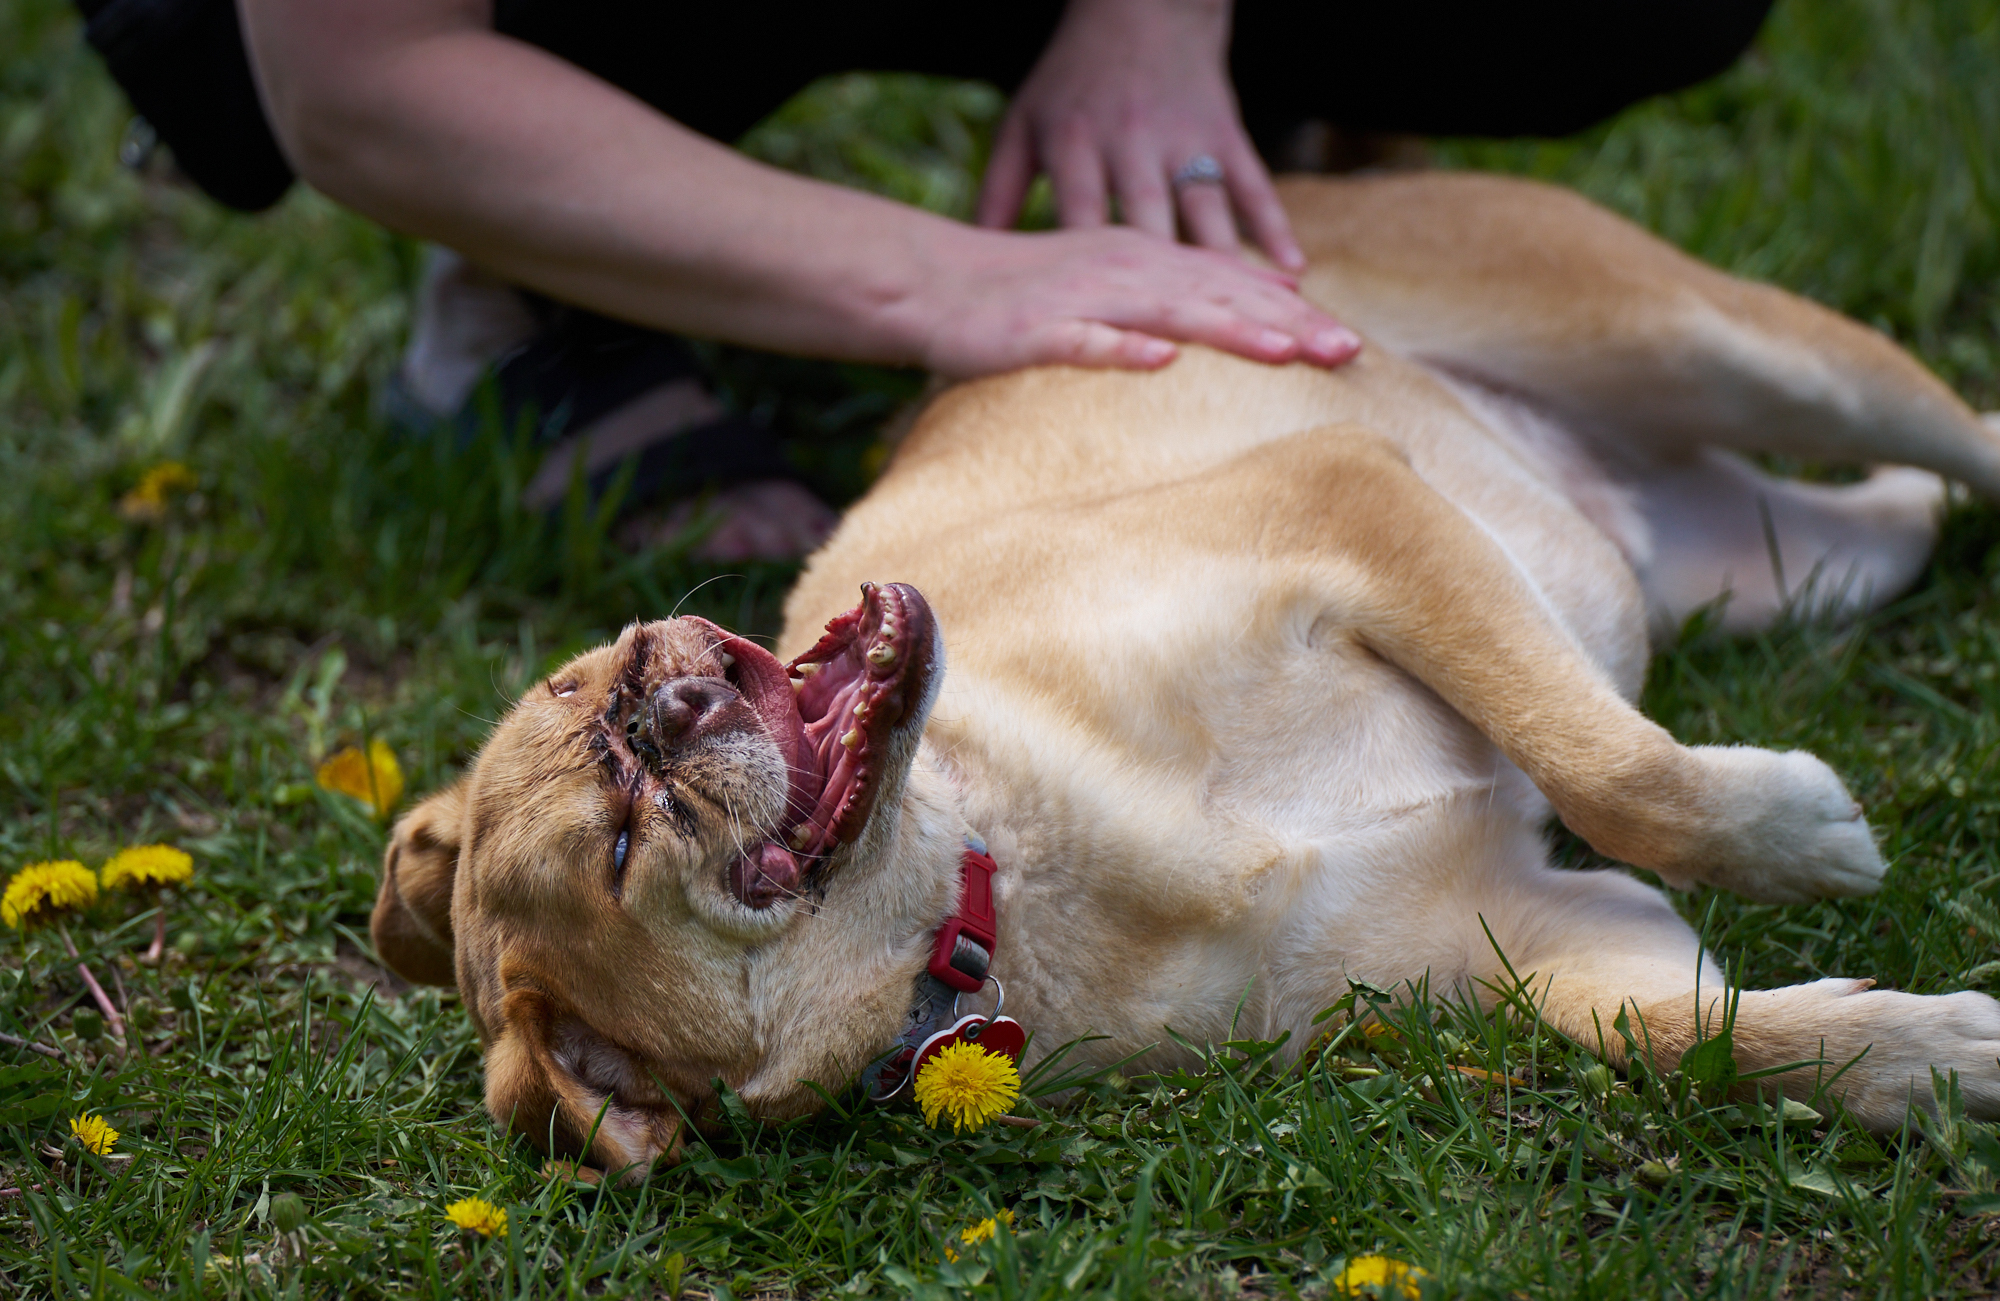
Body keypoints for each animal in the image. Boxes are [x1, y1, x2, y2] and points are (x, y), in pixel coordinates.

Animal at [368, 172, 2000, 1176]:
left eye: (573, 698)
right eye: (623, 844)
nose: (658, 684)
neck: (1008, 870)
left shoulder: (1345, 501)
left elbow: (1618, 764)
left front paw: (1798, 839)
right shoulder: (1542, 939)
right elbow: (1697, 1036)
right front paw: (1932, 1059)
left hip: (1722, 348)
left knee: (1962, 431)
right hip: (1782, 560)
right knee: (1907, 514)